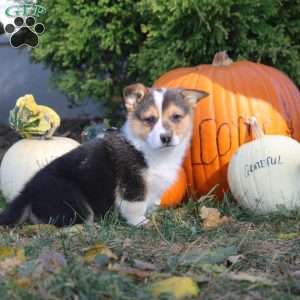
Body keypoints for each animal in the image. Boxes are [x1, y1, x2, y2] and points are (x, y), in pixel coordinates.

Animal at [0, 83, 207, 226]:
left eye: (176, 117)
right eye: (149, 119)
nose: (166, 138)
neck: (151, 151)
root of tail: (26, 192)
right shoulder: (132, 184)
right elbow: (135, 206)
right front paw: (141, 223)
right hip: (73, 199)